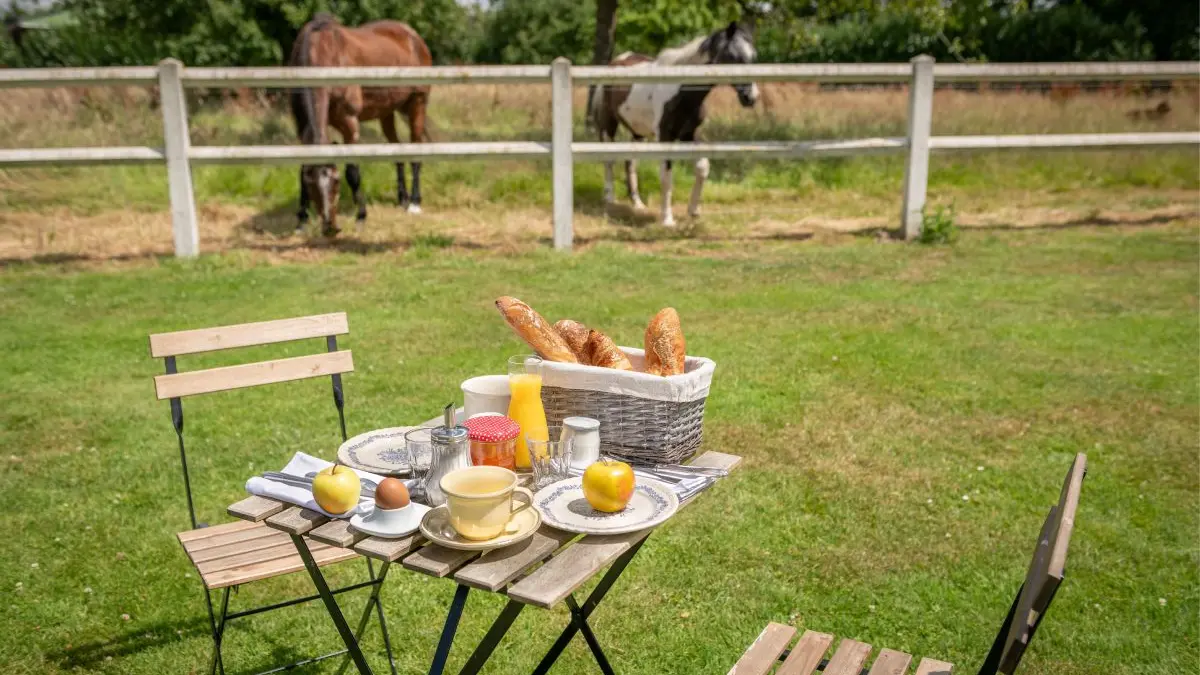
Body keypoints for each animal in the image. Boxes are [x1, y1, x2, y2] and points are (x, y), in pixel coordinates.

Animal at [289, 12, 432, 236]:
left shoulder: (349, 124)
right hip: (387, 112)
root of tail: (414, 36)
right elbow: (302, 168)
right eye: (311, 184)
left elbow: (352, 172)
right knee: (397, 148)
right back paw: (403, 198)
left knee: (416, 150)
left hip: (418, 103)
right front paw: (301, 221)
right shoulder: (302, 126)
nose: (330, 227)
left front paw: (361, 216)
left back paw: (415, 203)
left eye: (336, 182)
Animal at [585, 22, 753, 224]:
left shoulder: (689, 134)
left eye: (753, 56)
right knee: (609, 160)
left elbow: (702, 167)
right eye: (733, 56)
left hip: (638, 132)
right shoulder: (665, 136)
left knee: (630, 162)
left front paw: (693, 211)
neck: (681, 90)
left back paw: (638, 204)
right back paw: (610, 199)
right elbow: (666, 176)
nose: (750, 97)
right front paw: (667, 220)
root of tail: (614, 63)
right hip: (608, 125)